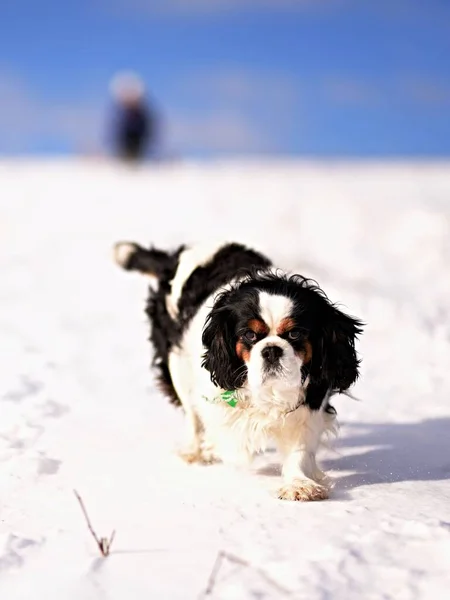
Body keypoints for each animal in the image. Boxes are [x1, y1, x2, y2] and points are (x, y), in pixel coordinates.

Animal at [114, 240, 364, 502]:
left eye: (295, 334)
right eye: (249, 335)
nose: (272, 350)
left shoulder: (309, 405)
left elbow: (300, 449)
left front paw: (299, 484)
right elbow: (226, 428)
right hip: (177, 365)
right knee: (192, 416)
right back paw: (196, 451)